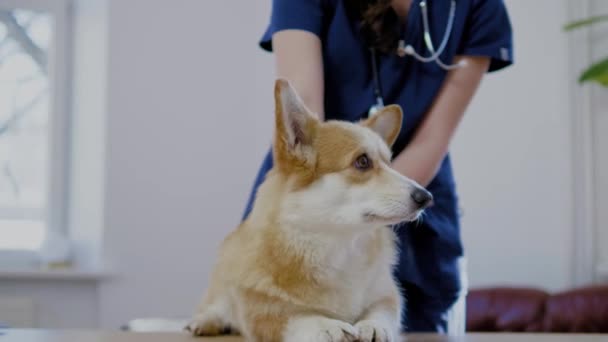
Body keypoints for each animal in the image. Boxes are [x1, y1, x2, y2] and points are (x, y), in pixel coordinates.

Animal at [185, 79, 432, 340]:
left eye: (389, 164)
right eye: (362, 161)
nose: (426, 198)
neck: (339, 245)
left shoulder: (386, 295)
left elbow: (382, 312)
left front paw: (374, 326)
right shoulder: (261, 312)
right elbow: (297, 316)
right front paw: (328, 325)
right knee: (217, 304)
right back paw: (205, 321)